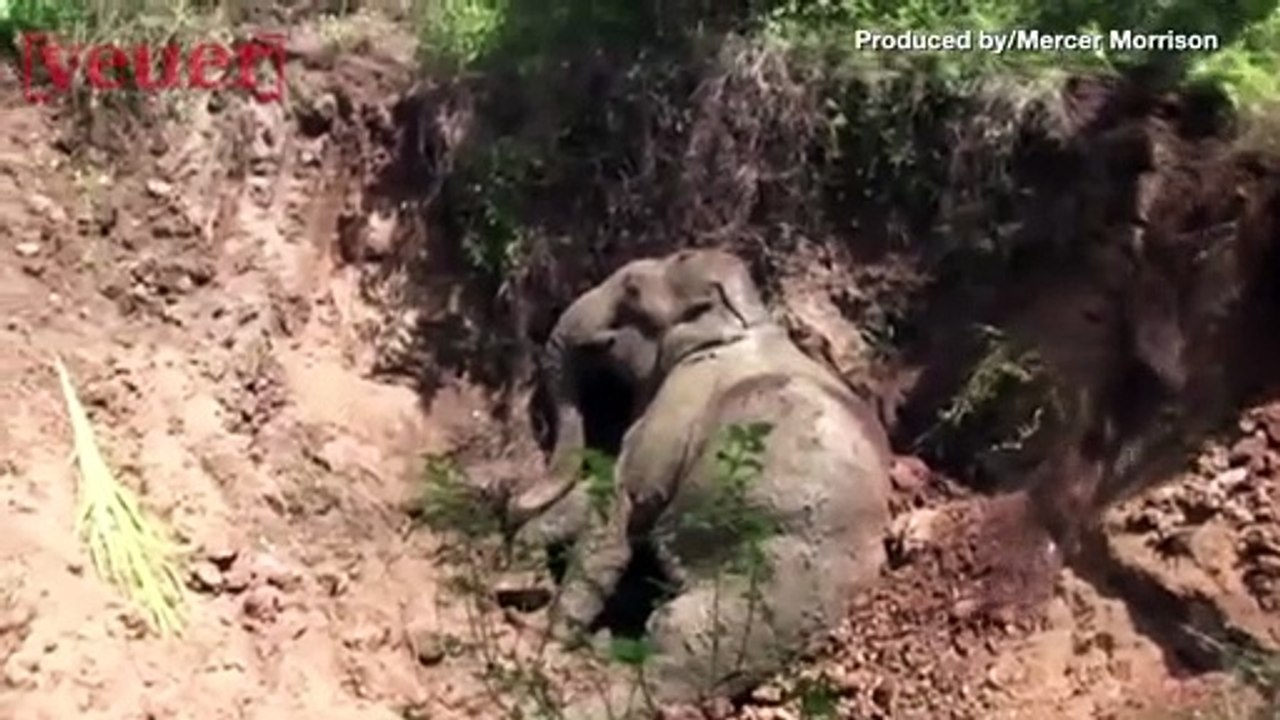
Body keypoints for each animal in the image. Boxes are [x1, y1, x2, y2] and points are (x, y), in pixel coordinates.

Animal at [511, 248, 894, 718]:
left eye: (633, 290)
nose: (510, 499)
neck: (743, 324)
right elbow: (600, 490)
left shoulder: (678, 405)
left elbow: (622, 505)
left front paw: (545, 635)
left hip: (760, 590)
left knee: (671, 652)